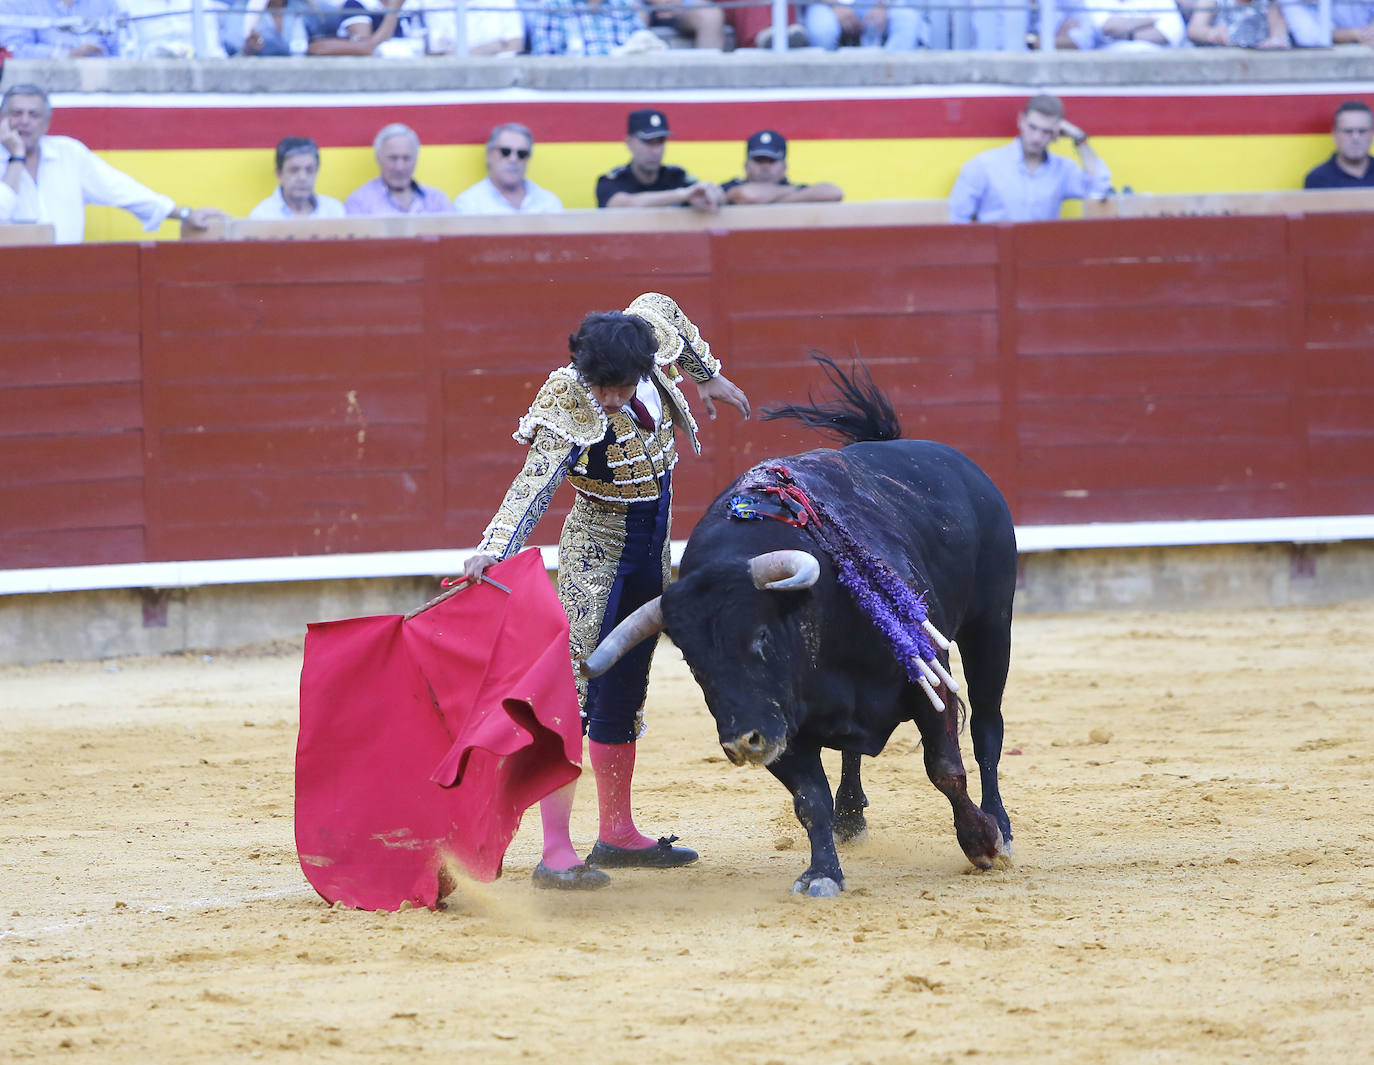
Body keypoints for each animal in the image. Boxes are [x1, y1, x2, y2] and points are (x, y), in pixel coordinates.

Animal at [579, 387, 1022, 895]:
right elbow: (811, 801)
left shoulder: (928, 676)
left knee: (987, 730)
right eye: (693, 661)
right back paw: (851, 816)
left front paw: (982, 842)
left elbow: (946, 769)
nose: (743, 743)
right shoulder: (780, 726)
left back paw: (1002, 824)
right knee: (853, 753)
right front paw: (822, 873)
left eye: (761, 636)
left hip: (992, 626)